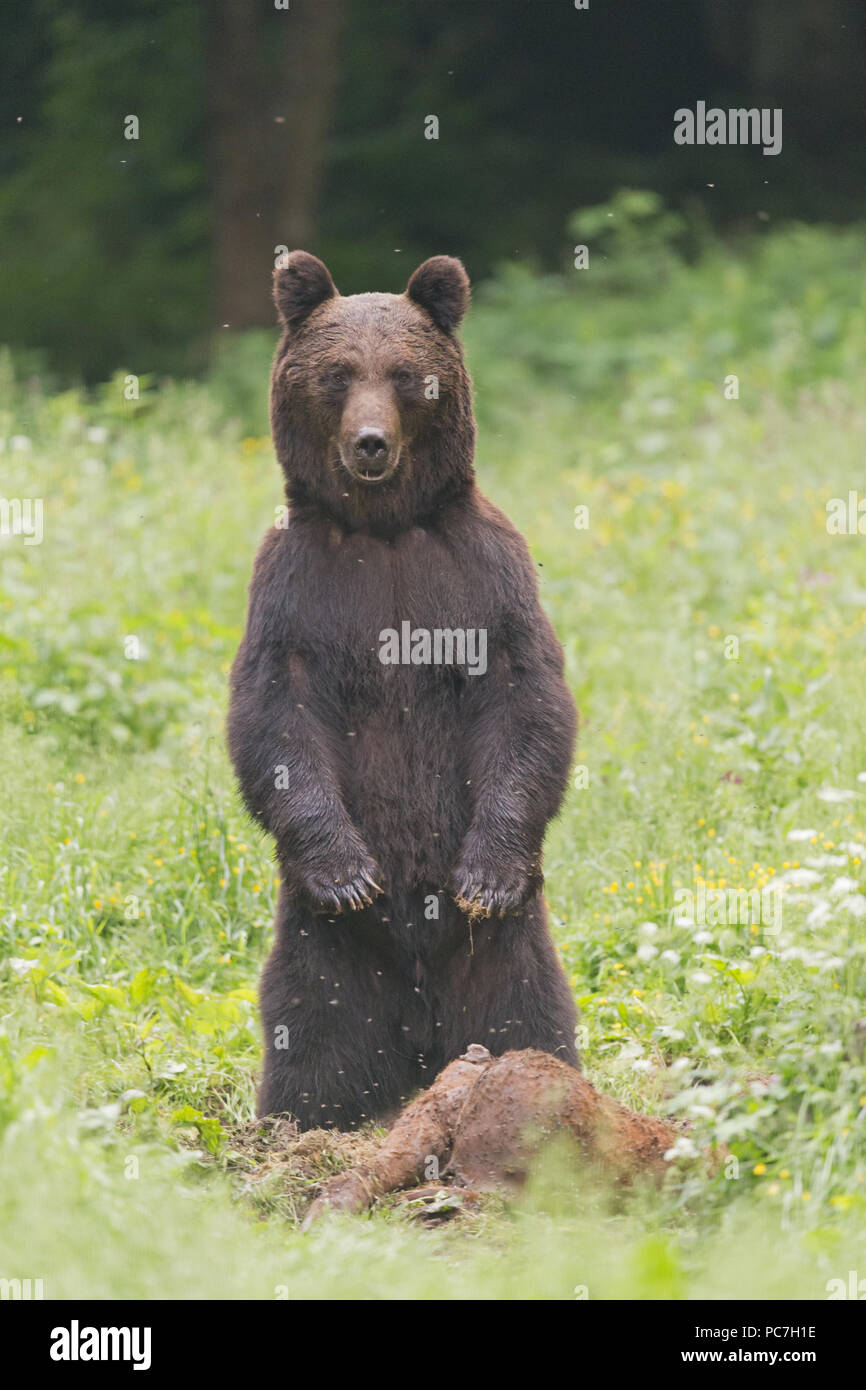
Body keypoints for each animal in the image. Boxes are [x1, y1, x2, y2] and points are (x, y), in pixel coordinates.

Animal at [227, 251, 578, 1130]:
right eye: (337, 374)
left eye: (406, 374)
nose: (370, 442)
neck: (383, 526)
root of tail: (422, 1043)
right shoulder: (296, 589)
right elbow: (276, 714)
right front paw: (349, 872)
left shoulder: (478, 571)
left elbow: (525, 696)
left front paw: (486, 875)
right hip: (322, 945)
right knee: (312, 1027)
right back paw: (300, 1118)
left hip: (509, 951)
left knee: (529, 1009)